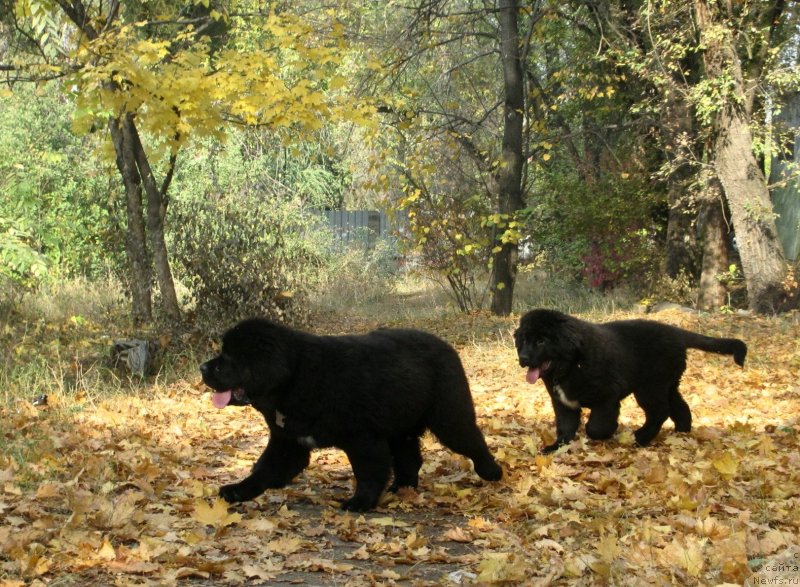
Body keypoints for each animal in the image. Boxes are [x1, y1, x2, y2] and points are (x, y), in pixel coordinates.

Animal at [200, 320, 500, 512]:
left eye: (230, 357)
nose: (203, 367)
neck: (296, 378)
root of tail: (446, 345)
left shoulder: (362, 438)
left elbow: (368, 472)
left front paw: (360, 503)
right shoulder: (288, 441)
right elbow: (264, 469)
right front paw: (238, 490)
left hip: (449, 417)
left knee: (472, 441)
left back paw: (492, 472)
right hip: (399, 427)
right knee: (410, 458)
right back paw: (402, 487)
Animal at [516, 310, 748, 452]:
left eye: (541, 341)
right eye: (524, 340)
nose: (523, 358)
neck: (572, 364)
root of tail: (677, 333)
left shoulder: (607, 396)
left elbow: (596, 426)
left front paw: (607, 433)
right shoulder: (563, 402)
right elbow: (565, 426)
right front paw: (555, 447)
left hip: (650, 388)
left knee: (660, 412)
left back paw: (641, 438)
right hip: (667, 384)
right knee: (680, 407)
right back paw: (681, 433)